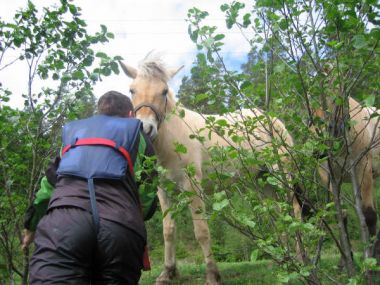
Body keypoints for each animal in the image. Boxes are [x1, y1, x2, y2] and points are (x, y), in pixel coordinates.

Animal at [120, 54, 298, 282]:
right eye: (132, 90)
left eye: (164, 91)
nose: (146, 127)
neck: (173, 137)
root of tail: (274, 120)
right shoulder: (164, 190)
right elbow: (168, 230)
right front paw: (168, 272)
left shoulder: (193, 187)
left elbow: (202, 231)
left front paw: (213, 275)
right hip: (264, 182)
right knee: (277, 213)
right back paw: (285, 259)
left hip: (281, 174)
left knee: (293, 210)